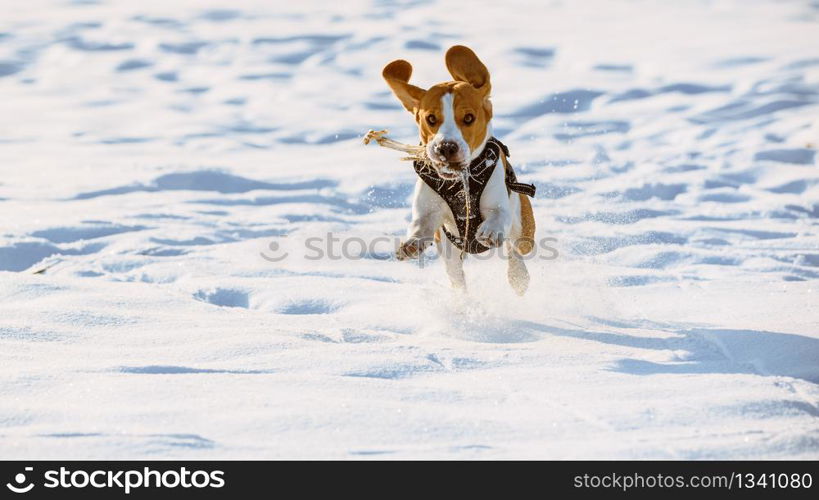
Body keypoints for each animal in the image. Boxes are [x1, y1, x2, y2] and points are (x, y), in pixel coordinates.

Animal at [384, 45, 540, 294]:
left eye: (468, 118)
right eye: (431, 118)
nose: (446, 147)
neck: (459, 180)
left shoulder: (499, 203)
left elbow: (498, 216)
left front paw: (490, 231)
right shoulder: (429, 211)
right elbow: (421, 224)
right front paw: (412, 242)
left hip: (524, 230)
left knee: (514, 249)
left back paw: (518, 275)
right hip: (449, 250)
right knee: (457, 276)